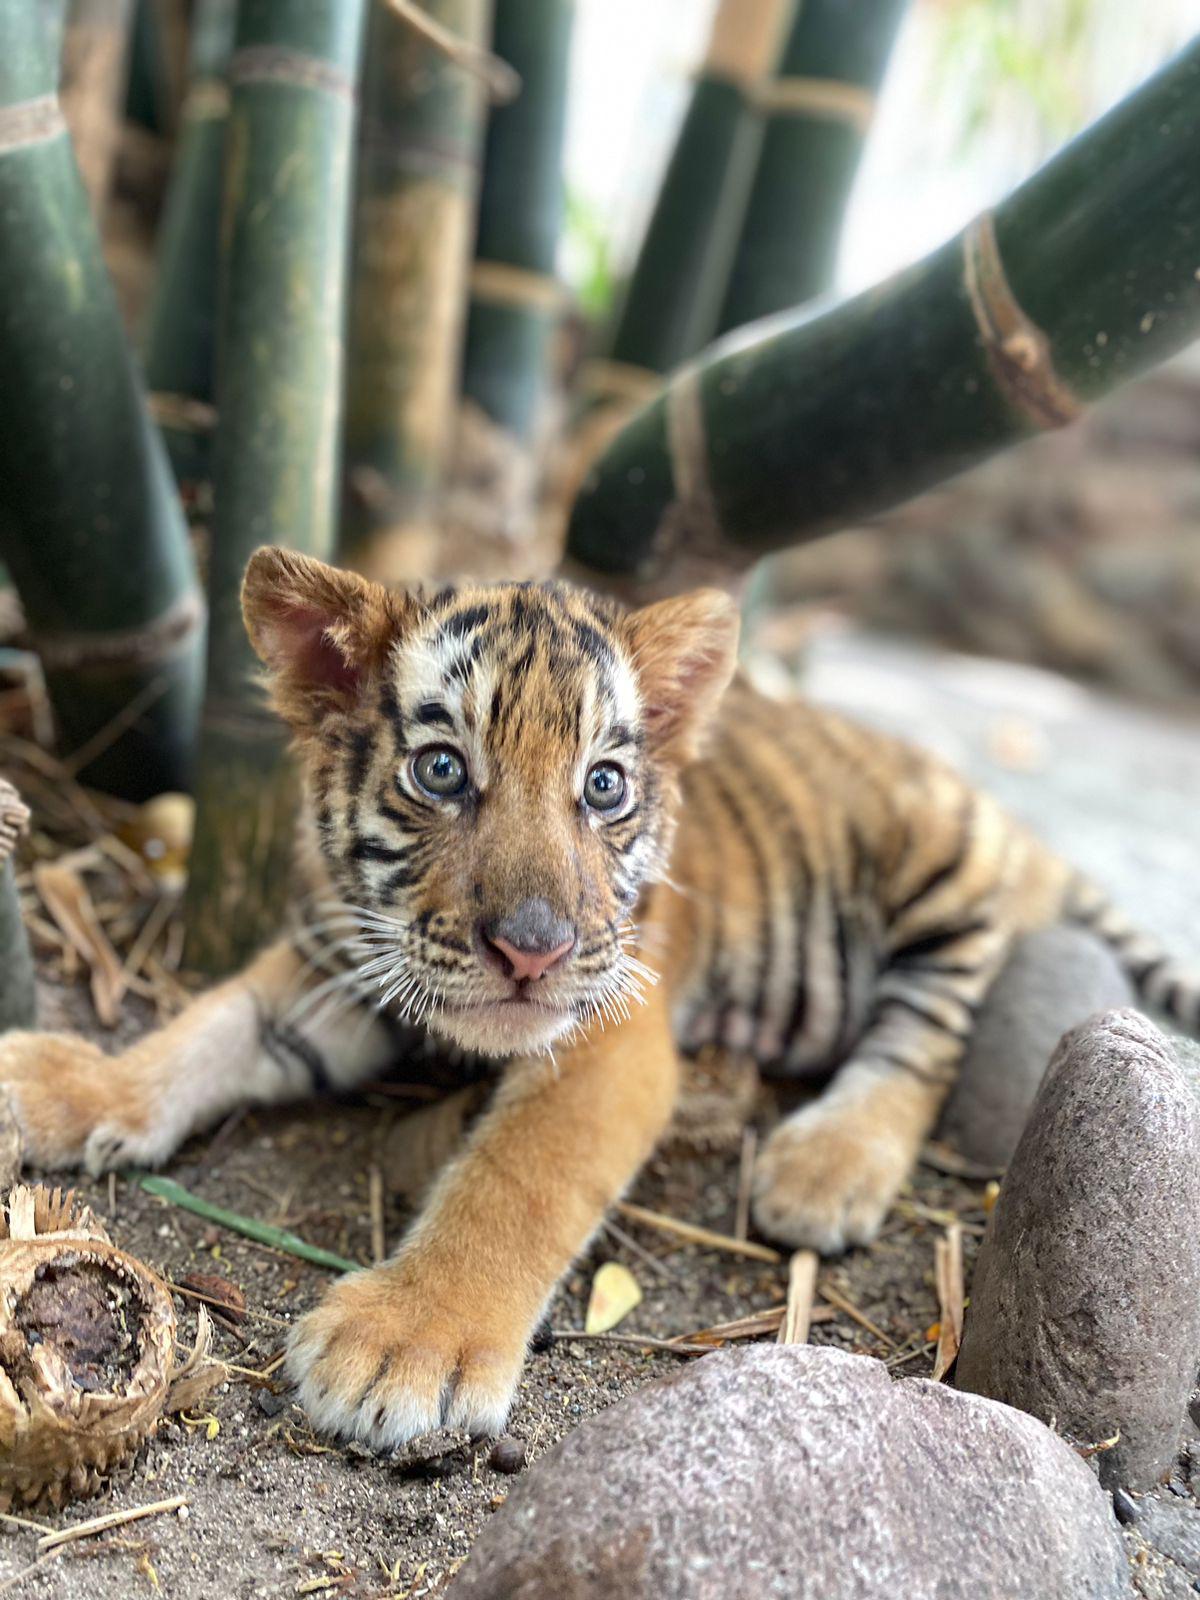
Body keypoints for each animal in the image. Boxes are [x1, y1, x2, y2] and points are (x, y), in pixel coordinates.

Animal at [0, 546, 1195, 1452]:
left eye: (604, 787)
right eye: (442, 771)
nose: (533, 951)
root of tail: (1010, 821)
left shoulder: (609, 1037)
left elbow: (517, 1179)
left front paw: (404, 1343)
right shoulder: (336, 957)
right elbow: (205, 1029)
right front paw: (66, 1086)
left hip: (940, 871)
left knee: (930, 1033)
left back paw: (825, 1165)